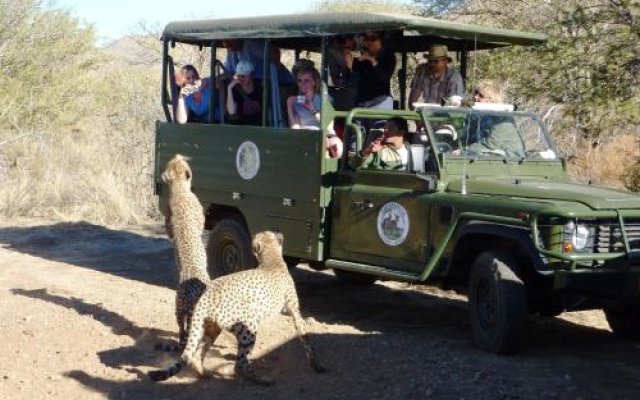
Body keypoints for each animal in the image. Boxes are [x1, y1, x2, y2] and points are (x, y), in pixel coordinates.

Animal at [148, 231, 322, 384]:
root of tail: (206, 295)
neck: (271, 260)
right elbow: (305, 336)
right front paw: (315, 364)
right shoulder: (295, 312)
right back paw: (260, 379)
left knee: (197, 355)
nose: (278, 231)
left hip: (213, 327)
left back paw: (204, 373)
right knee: (240, 363)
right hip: (248, 324)